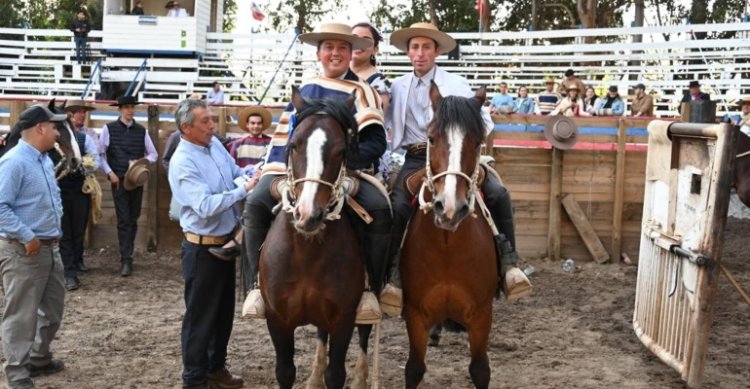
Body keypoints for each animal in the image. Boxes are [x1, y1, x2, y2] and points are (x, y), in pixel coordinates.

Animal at [260, 87, 374, 388]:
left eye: (341, 151)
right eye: (294, 145)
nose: (308, 215)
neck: (305, 254)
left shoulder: (343, 318)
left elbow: (336, 374)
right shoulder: (277, 320)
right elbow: (285, 372)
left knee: (365, 334)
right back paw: (314, 377)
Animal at [400, 83, 500, 386]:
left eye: (478, 141)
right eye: (431, 139)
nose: (450, 208)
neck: (447, 248)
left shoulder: (481, 315)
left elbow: (480, 369)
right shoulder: (416, 314)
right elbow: (414, 368)